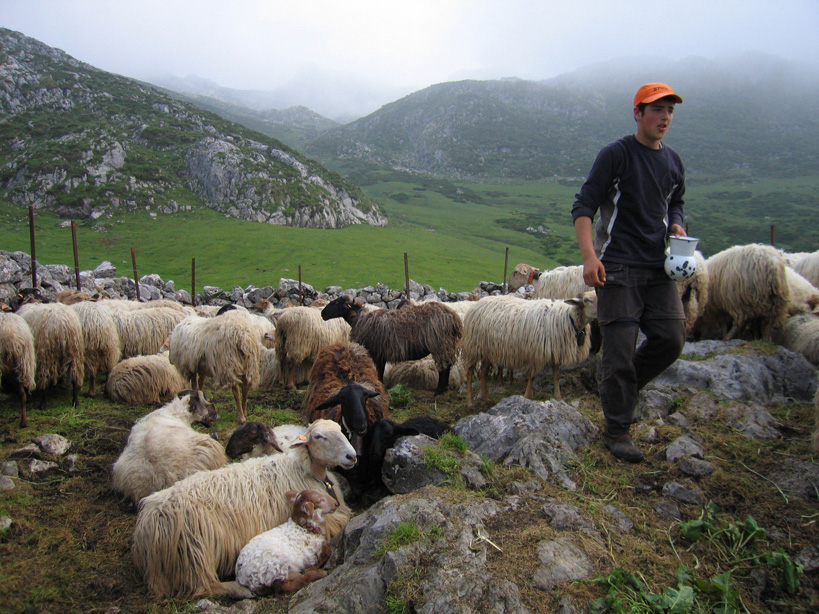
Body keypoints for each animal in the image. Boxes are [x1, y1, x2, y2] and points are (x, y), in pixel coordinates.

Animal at [131, 418, 356, 600]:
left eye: (340, 429)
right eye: (318, 436)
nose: (351, 456)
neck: (305, 470)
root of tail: (148, 520)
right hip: (193, 552)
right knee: (203, 586)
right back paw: (239, 590)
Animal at [322, 296, 464, 398]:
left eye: (337, 302)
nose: (323, 313)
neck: (360, 318)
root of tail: (454, 317)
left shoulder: (377, 352)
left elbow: (379, 372)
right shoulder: (381, 353)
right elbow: (380, 371)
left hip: (440, 344)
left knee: (444, 368)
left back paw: (439, 391)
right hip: (445, 345)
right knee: (447, 366)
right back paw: (444, 389)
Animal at [462, 292, 596, 404]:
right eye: (586, 300)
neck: (569, 318)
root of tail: (478, 302)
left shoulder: (554, 351)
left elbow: (557, 375)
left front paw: (558, 397)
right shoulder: (536, 353)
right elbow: (532, 376)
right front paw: (526, 396)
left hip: (487, 349)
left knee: (484, 371)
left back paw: (484, 397)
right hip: (473, 346)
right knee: (469, 373)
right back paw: (470, 401)